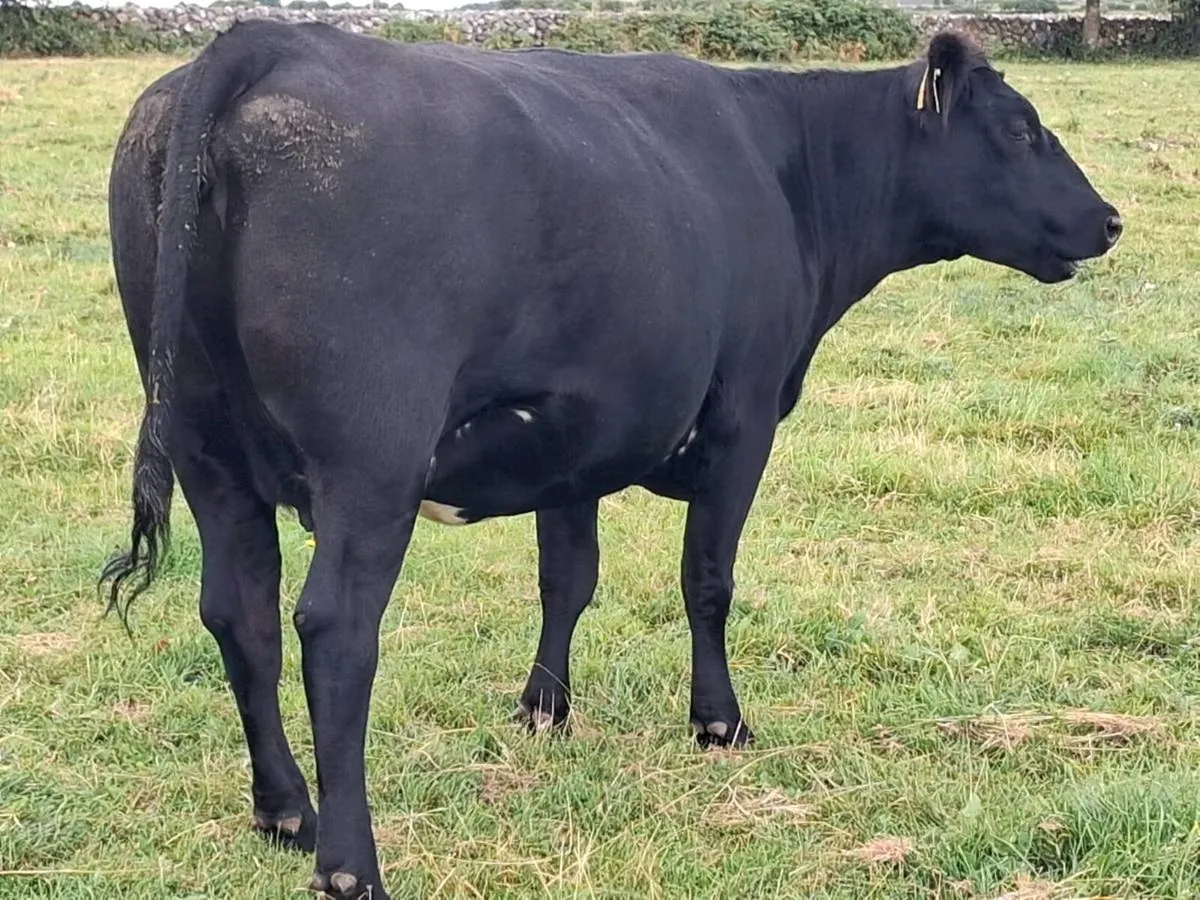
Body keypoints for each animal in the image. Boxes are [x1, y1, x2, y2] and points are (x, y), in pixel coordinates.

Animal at [102, 19, 1121, 898]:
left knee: (240, 615)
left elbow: (568, 577)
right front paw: (719, 722)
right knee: (336, 634)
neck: (788, 168)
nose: (1110, 220)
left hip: (206, 451)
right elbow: (707, 580)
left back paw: (287, 815)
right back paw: (352, 863)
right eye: (1022, 129)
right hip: (372, 462)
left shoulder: (575, 436)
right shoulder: (745, 415)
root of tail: (268, 40)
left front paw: (544, 711)